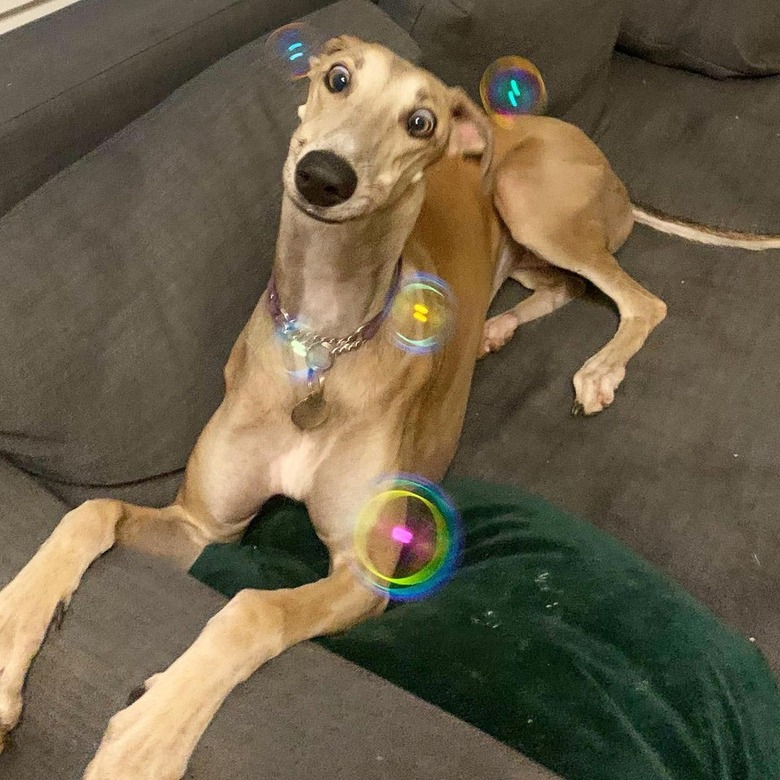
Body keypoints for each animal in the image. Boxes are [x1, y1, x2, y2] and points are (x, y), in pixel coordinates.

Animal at [3, 33, 776, 776]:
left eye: (420, 121)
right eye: (338, 77)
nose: (323, 176)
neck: (324, 345)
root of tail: (581, 142)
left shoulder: (363, 571)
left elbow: (252, 610)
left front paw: (150, 736)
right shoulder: (202, 526)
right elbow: (90, 512)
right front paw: (12, 640)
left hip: (529, 199)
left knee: (641, 300)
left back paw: (598, 370)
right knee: (564, 287)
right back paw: (493, 330)